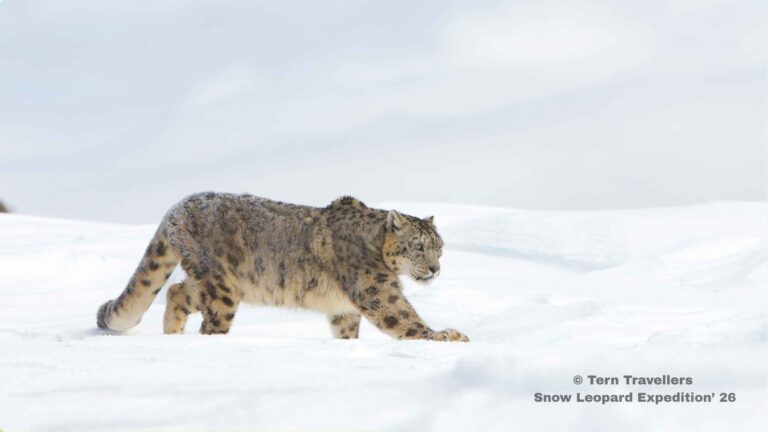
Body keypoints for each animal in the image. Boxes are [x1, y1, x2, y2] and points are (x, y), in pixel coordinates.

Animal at [96, 192, 469, 342]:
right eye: (418, 246)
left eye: (440, 247)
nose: (435, 269)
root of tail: (177, 207)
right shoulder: (376, 290)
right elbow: (404, 318)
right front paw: (447, 336)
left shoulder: (344, 309)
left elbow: (347, 330)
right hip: (221, 287)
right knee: (209, 320)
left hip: (210, 280)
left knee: (175, 290)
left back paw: (171, 334)